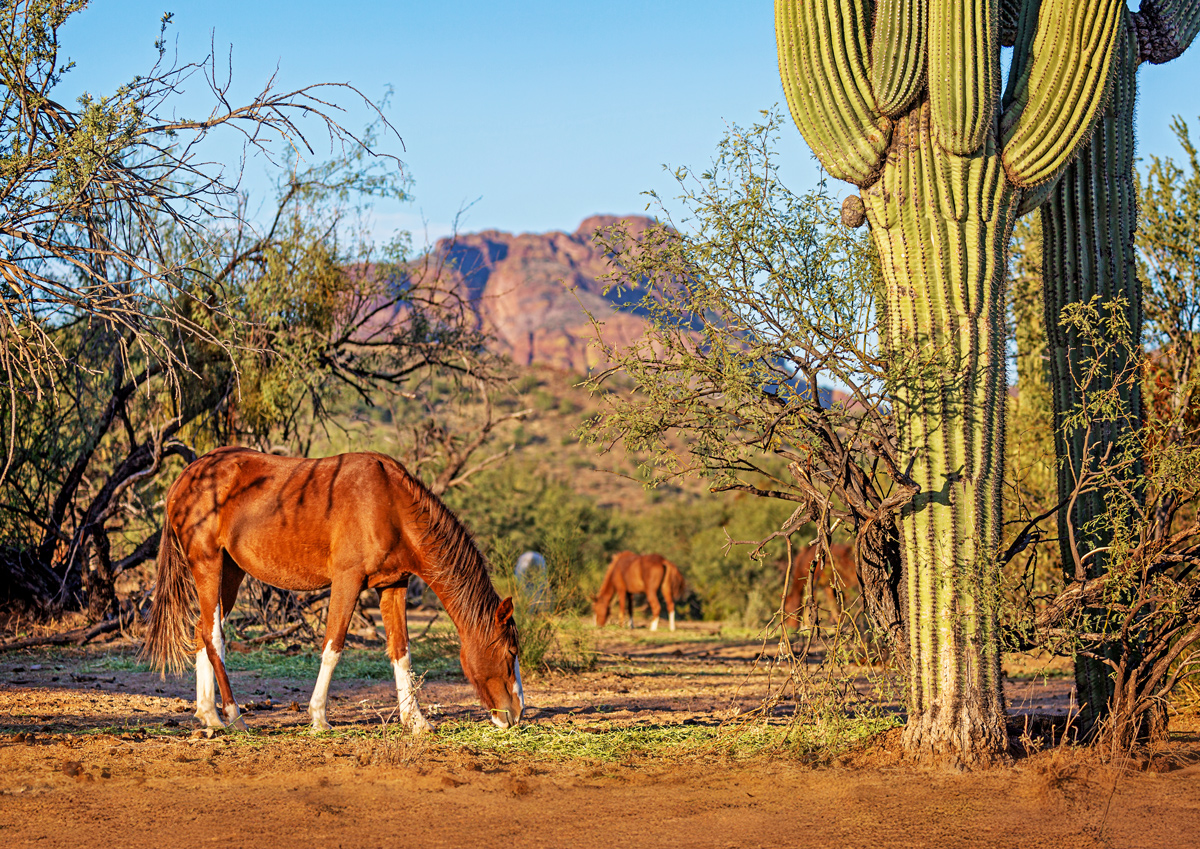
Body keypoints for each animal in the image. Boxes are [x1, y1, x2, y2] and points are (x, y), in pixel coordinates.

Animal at [142, 447, 524, 735]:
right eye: (510, 652)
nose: (517, 714)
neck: (391, 504)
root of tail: (186, 477)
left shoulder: (393, 585)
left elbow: (401, 651)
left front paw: (415, 721)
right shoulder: (347, 580)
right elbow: (334, 646)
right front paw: (319, 717)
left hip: (229, 573)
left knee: (201, 631)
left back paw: (209, 715)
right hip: (207, 565)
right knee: (214, 636)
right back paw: (234, 716)